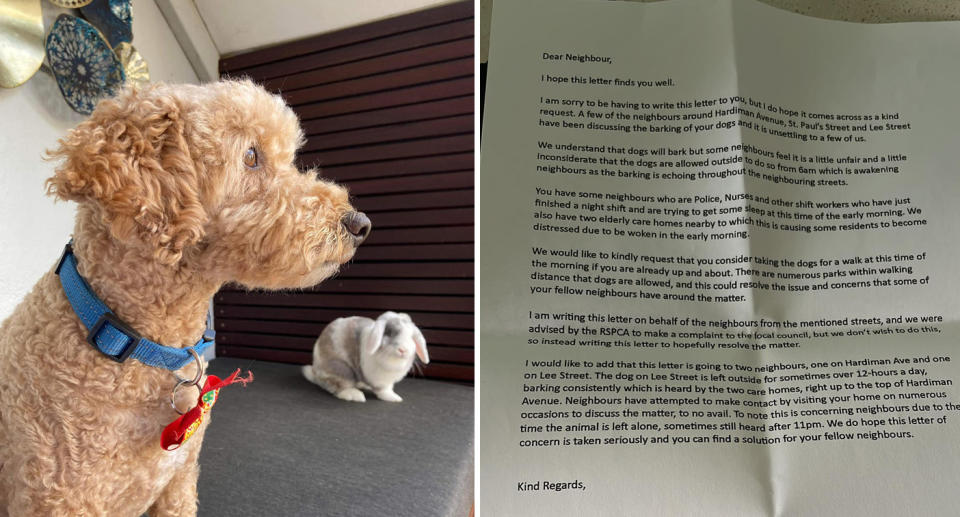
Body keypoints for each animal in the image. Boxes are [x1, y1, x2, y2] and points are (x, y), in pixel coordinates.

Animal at [302, 310, 430, 400]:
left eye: (412, 337)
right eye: (389, 333)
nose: (403, 350)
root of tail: (316, 372)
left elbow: (388, 388)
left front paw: (395, 396)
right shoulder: (381, 381)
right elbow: (384, 391)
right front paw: (393, 398)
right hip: (342, 371)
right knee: (339, 388)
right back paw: (355, 395)